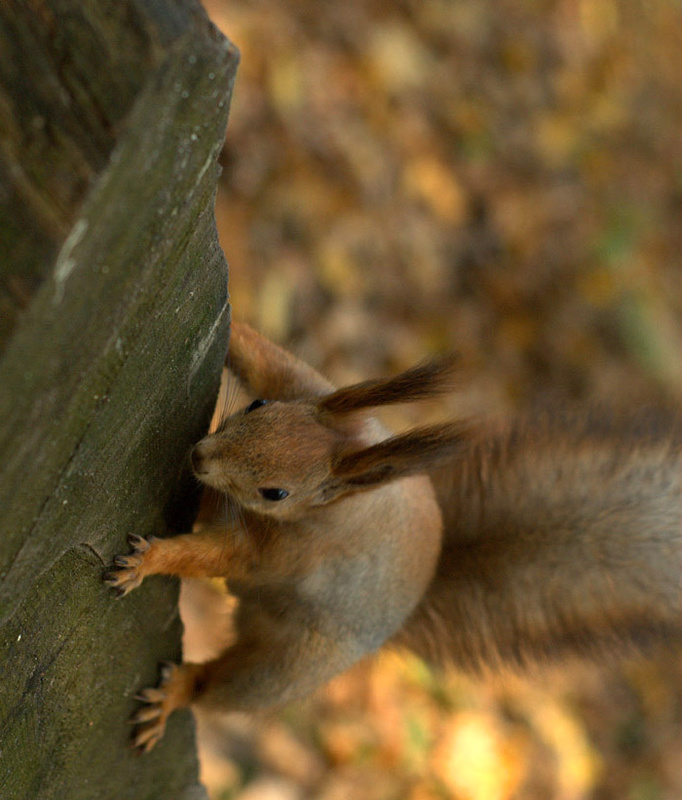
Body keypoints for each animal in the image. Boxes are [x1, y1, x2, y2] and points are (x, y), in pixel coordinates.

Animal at [102, 322, 680, 752]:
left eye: (276, 493)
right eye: (256, 406)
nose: (200, 458)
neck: (338, 496)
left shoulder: (288, 550)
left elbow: (215, 555)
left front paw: (149, 561)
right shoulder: (305, 385)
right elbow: (260, 355)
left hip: (286, 666)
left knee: (228, 687)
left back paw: (178, 692)